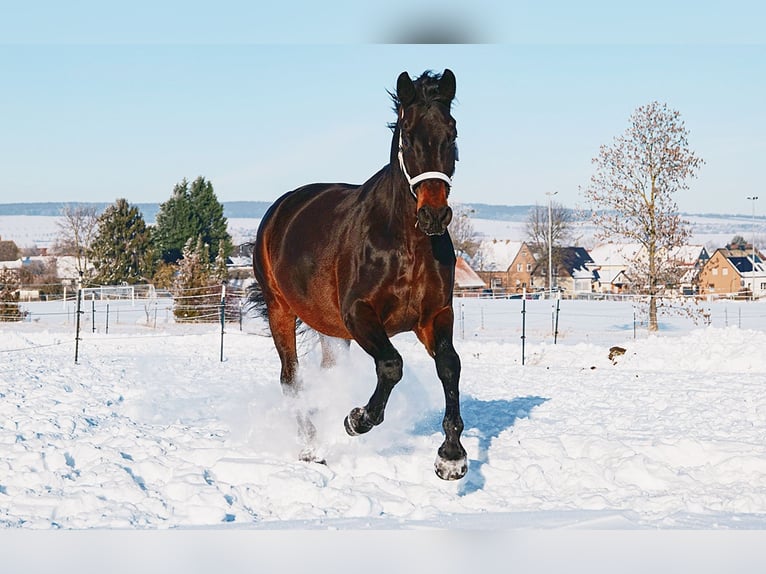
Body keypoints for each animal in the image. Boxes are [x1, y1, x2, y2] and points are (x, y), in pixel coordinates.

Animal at [251, 69, 467, 480]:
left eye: (452, 133)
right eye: (408, 135)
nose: (434, 215)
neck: (405, 245)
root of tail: (281, 209)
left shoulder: (434, 316)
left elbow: (450, 367)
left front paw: (451, 457)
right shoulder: (358, 314)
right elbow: (391, 365)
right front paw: (357, 419)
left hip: (330, 330)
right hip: (280, 309)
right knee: (292, 378)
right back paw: (311, 448)